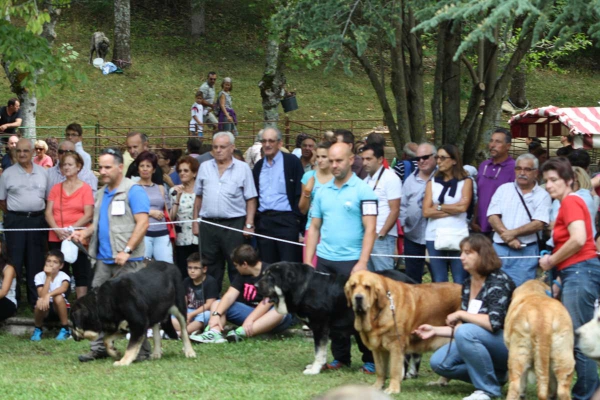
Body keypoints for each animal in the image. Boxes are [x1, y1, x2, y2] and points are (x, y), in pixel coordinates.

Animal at [254, 262, 418, 376]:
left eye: (271, 277)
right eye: (265, 274)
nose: (254, 285)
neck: (303, 287)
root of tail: (410, 280)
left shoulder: (320, 326)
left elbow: (319, 351)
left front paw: (314, 369)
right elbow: (323, 351)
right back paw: (411, 373)